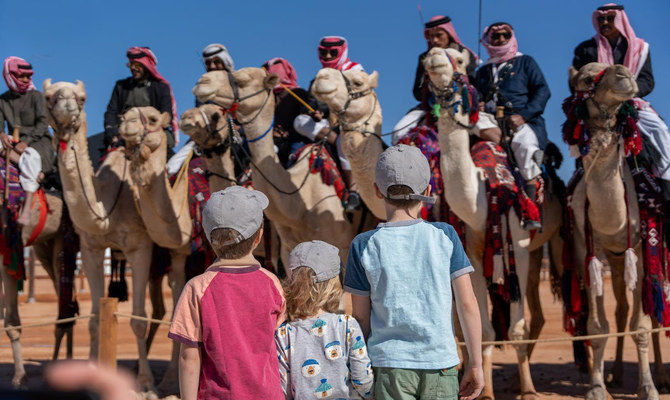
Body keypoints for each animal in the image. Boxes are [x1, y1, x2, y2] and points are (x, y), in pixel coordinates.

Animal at [43, 79, 176, 392]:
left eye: (81, 97)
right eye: (49, 96)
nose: (68, 106)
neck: (106, 208)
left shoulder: (140, 248)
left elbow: (138, 319)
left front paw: (145, 384)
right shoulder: (90, 248)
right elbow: (93, 318)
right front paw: (93, 373)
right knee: (160, 308)